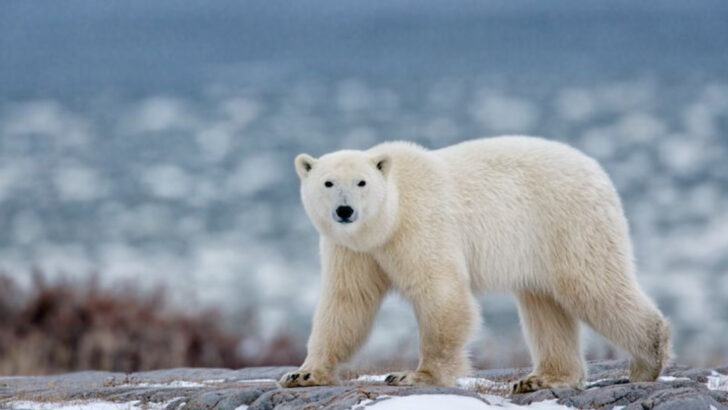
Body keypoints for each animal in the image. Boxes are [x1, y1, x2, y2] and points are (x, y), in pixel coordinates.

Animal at [278, 136, 672, 392]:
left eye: (361, 182)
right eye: (328, 183)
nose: (345, 211)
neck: (389, 218)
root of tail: (597, 170)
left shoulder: (420, 226)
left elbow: (440, 293)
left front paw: (414, 376)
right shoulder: (352, 249)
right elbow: (347, 302)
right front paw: (303, 374)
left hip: (568, 222)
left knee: (593, 286)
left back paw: (648, 360)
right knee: (544, 305)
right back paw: (541, 378)